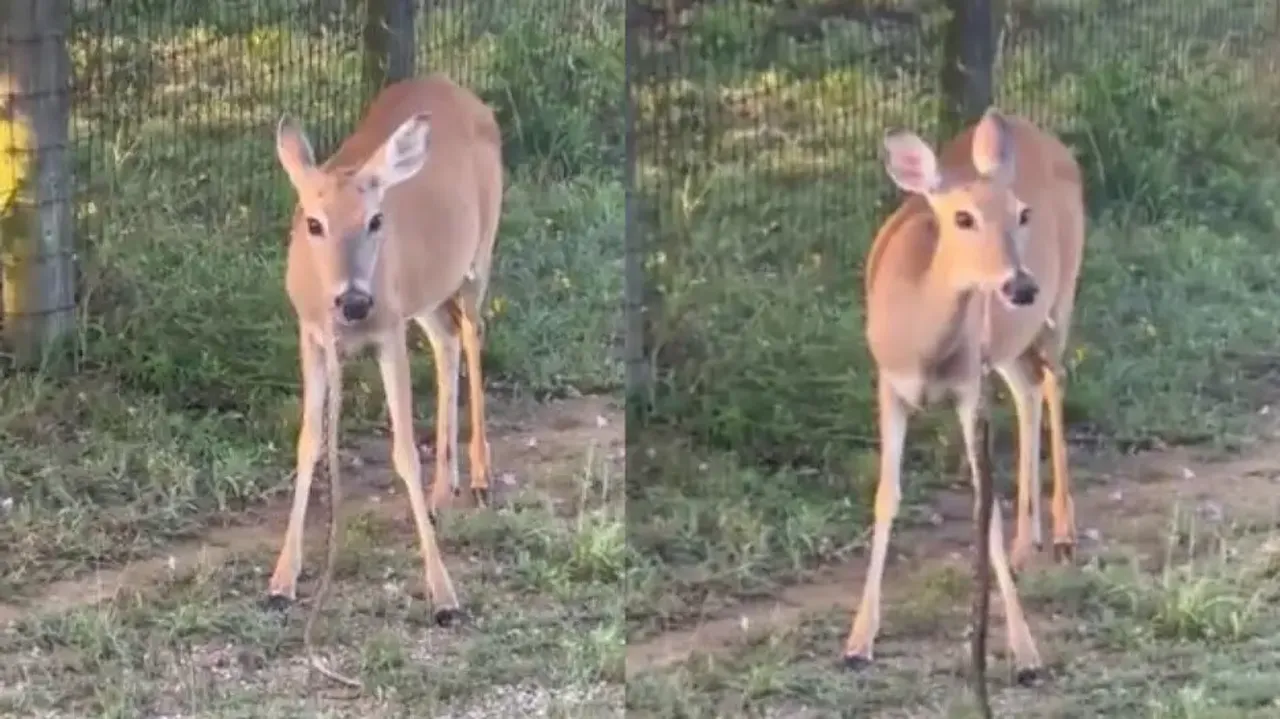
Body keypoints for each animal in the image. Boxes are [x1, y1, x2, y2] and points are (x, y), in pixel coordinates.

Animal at [264, 74, 503, 633]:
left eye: (375, 220)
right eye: (313, 223)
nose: (354, 300)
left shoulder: (388, 331)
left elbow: (404, 452)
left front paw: (444, 595)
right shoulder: (311, 335)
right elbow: (308, 442)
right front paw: (282, 580)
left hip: (478, 254)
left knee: (474, 333)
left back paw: (480, 477)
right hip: (427, 291)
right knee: (447, 339)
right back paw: (443, 492)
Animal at [843, 108, 1085, 683]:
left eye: (1022, 213)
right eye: (963, 218)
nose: (1021, 286)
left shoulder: (967, 388)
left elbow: (984, 507)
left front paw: (1025, 652)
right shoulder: (888, 384)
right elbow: (886, 496)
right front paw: (859, 640)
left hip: (1061, 300)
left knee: (1055, 380)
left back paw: (1063, 532)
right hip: (1008, 345)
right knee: (1029, 389)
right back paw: (1026, 544)